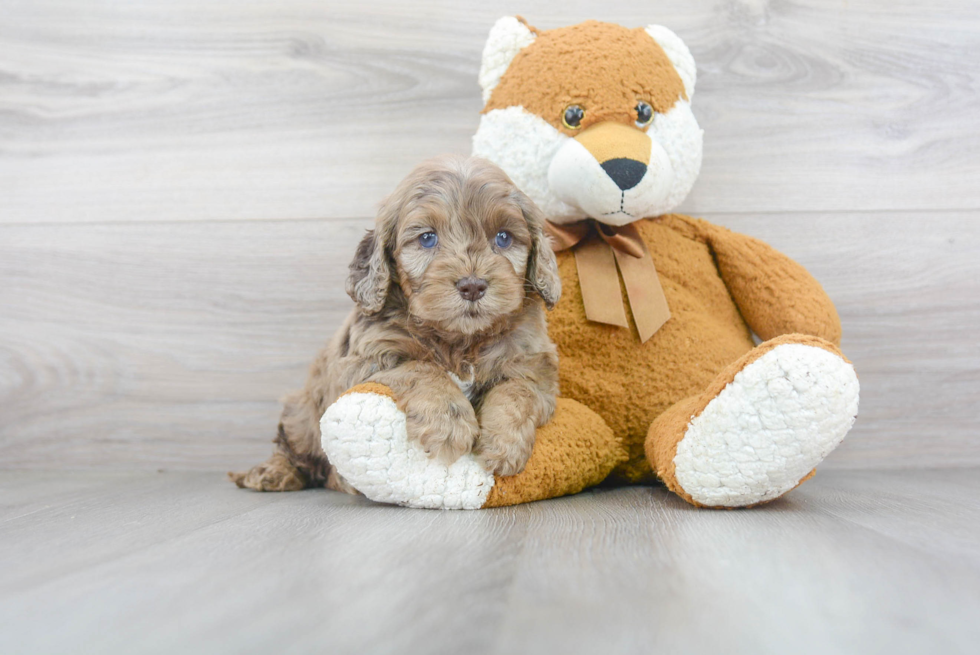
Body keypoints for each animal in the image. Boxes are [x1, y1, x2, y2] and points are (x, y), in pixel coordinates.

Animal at [230, 155, 564, 492]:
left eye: (503, 237)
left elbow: (517, 392)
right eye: (427, 238)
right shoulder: (364, 360)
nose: (472, 286)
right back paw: (272, 473)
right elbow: (420, 368)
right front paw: (448, 423)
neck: (458, 339)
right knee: (292, 446)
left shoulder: (534, 364)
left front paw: (504, 445)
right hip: (301, 412)